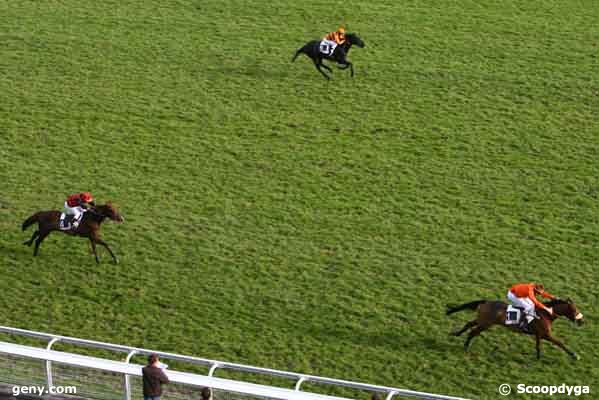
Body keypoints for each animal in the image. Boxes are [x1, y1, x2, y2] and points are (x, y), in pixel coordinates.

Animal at [448, 296, 584, 360]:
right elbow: (560, 343)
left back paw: (456, 334)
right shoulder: (546, 334)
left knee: (469, 324)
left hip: (482, 320)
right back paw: (466, 347)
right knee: (473, 332)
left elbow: (538, 346)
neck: (546, 313)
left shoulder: (539, 334)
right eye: (574, 310)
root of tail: (486, 302)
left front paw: (538, 358)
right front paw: (575, 355)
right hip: (486, 324)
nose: (581, 321)